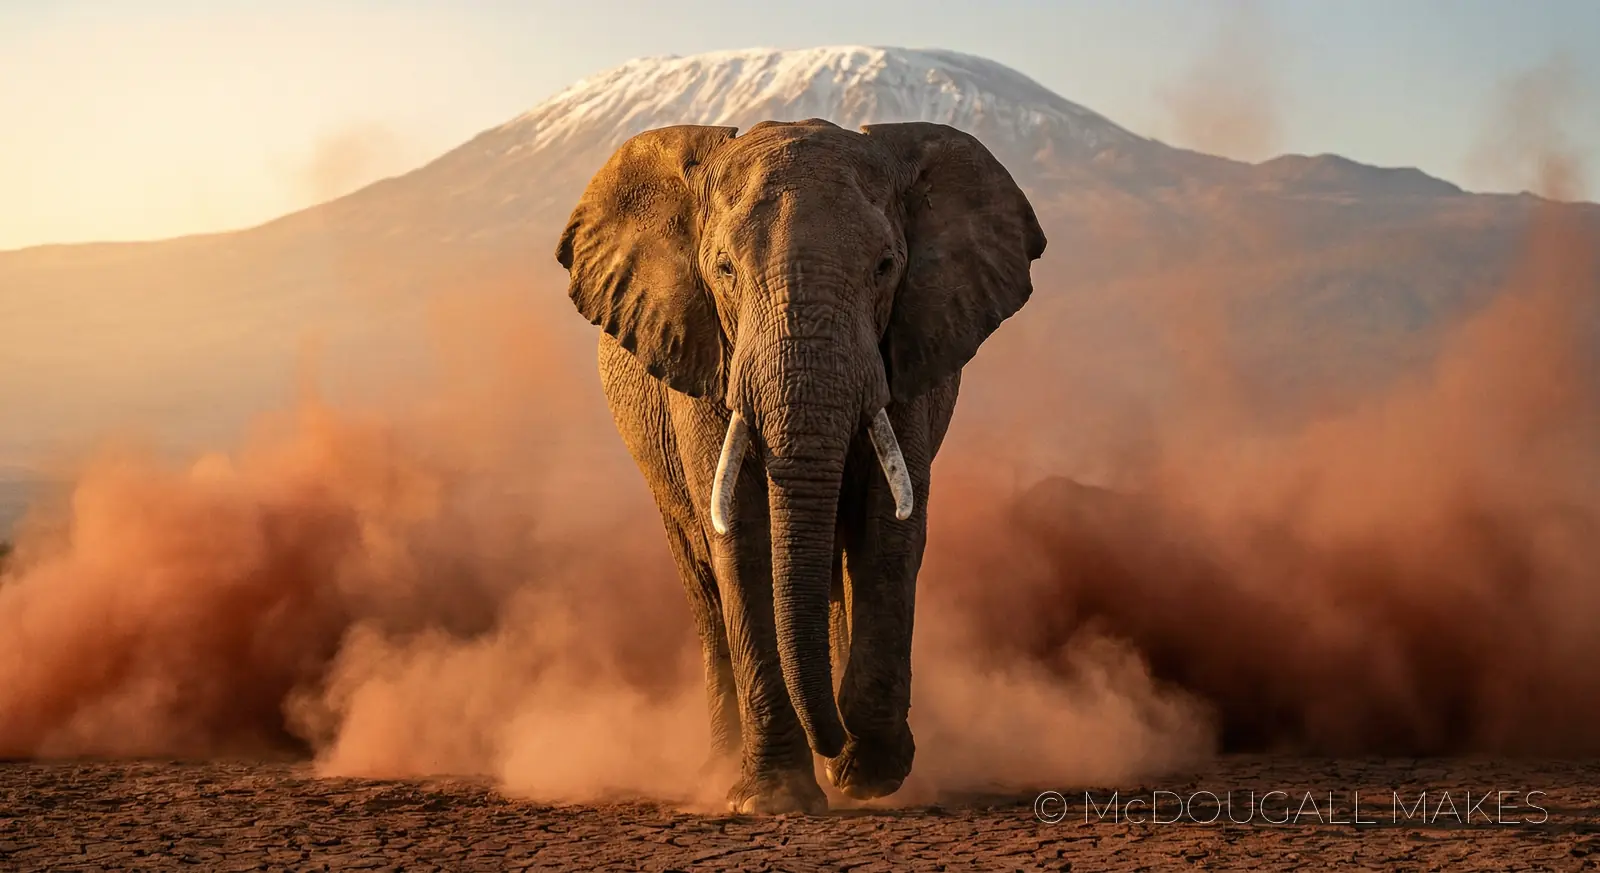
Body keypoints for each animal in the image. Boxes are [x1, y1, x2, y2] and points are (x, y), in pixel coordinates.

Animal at [553, 118, 1046, 814]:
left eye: (885, 266)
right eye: (724, 268)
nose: (833, 743)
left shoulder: (909, 350)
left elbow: (889, 529)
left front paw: (867, 772)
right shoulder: (705, 359)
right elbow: (741, 536)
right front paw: (773, 799)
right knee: (703, 583)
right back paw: (721, 771)